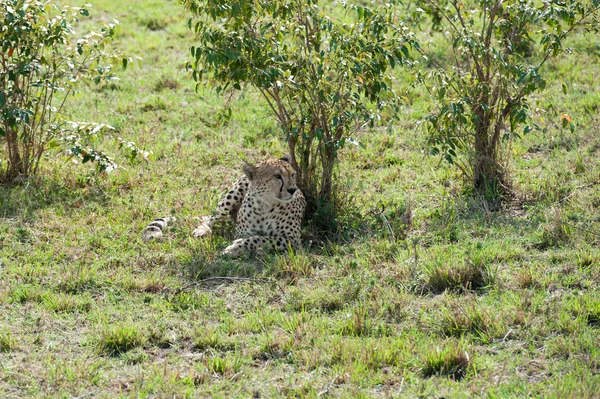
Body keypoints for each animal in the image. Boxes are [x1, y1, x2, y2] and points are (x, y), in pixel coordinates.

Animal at [143, 156, 304, 256]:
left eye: (293, 175)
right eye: (277, 176)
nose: (292, 189)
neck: (266, 204)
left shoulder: (293, 240)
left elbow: (261, 238)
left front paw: (236, 247)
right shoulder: (242, 232)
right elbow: (257, 237)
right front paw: (237, 247)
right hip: (234, 194)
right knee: (213, 217)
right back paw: (202, 229)